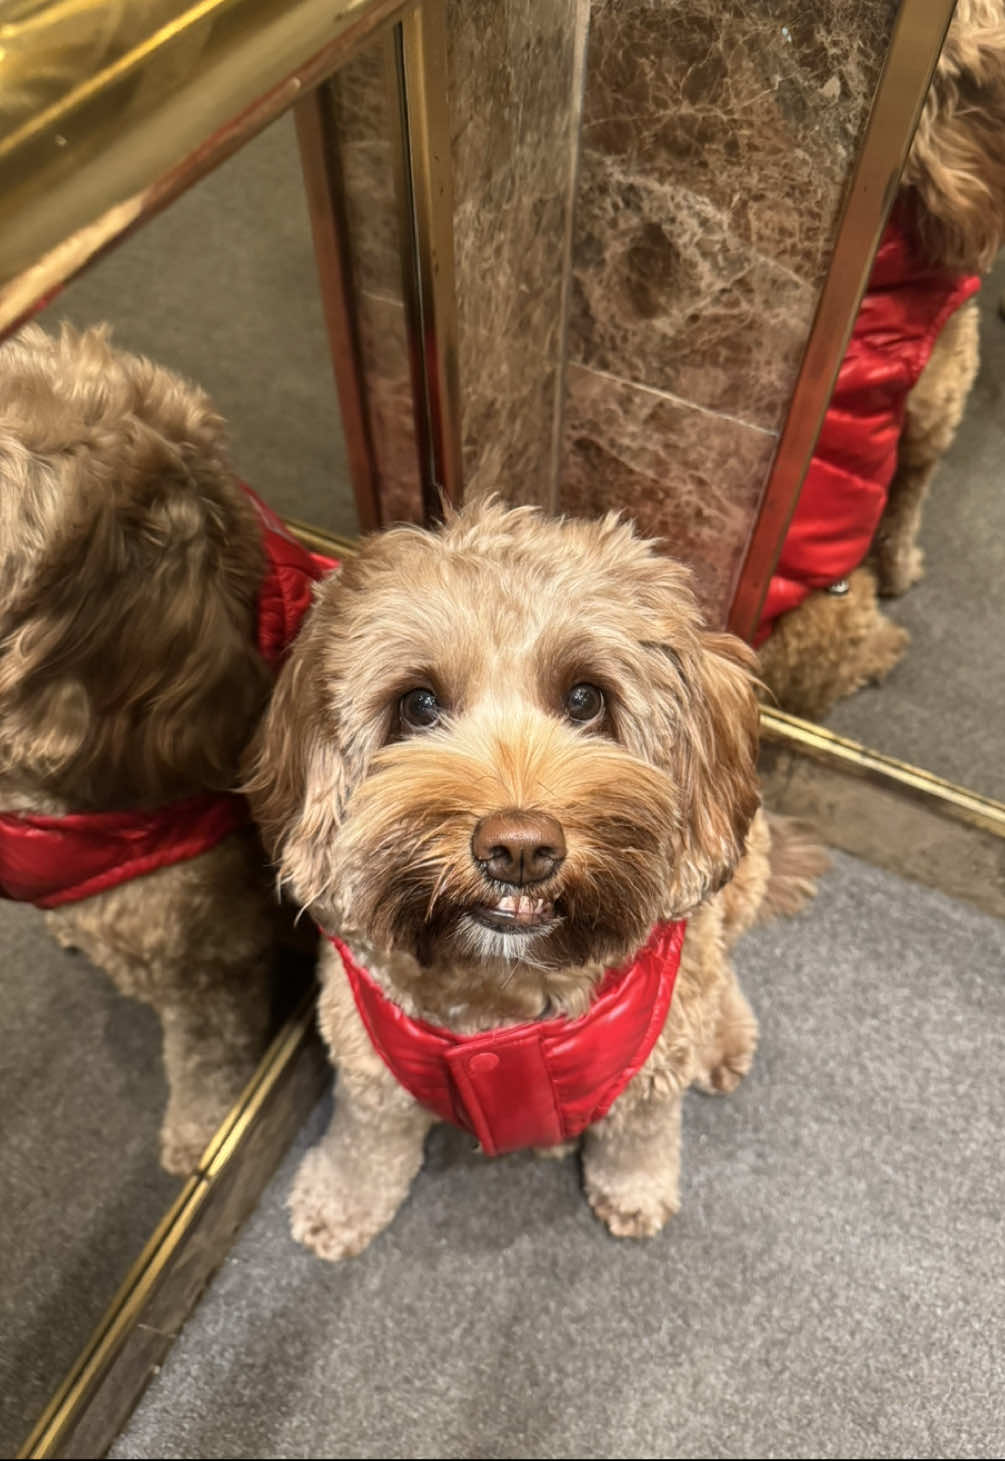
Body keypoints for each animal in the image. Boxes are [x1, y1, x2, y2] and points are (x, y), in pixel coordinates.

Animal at [243, 499, 823, 1256]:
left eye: (584, 699)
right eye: (419, 705)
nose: (518, 848)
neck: (507, 992)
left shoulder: (650, 1067)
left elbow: (638, 1134)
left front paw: (635, 1189)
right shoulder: (367, 1053)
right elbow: (366, 1137)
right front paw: (342, 1200)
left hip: (740, 874)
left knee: (719, 963)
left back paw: (722, 1038)